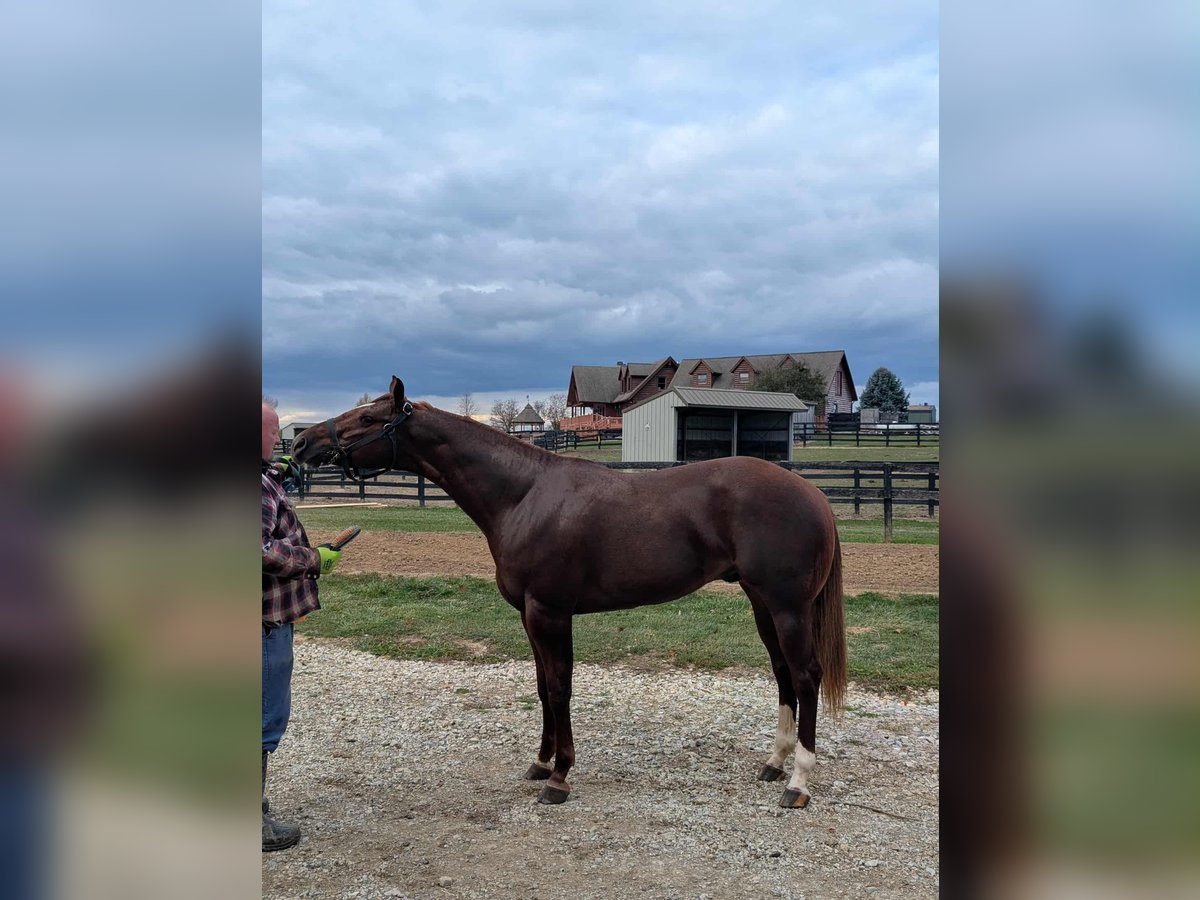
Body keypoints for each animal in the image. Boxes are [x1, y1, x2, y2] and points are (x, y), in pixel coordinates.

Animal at [291, 376, 846, 809]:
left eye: (367, 418)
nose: (300, 446)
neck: (524, 495)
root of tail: (812, 494)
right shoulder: (529, 616)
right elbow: (541, 688)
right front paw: (540, 763)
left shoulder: (550, 613)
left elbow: (560, 688)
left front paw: (559, 776)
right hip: (762, 604)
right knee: (782, 674)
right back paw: (774, 762)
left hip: (788, 607)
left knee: (805, 676)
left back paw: (798, 782)